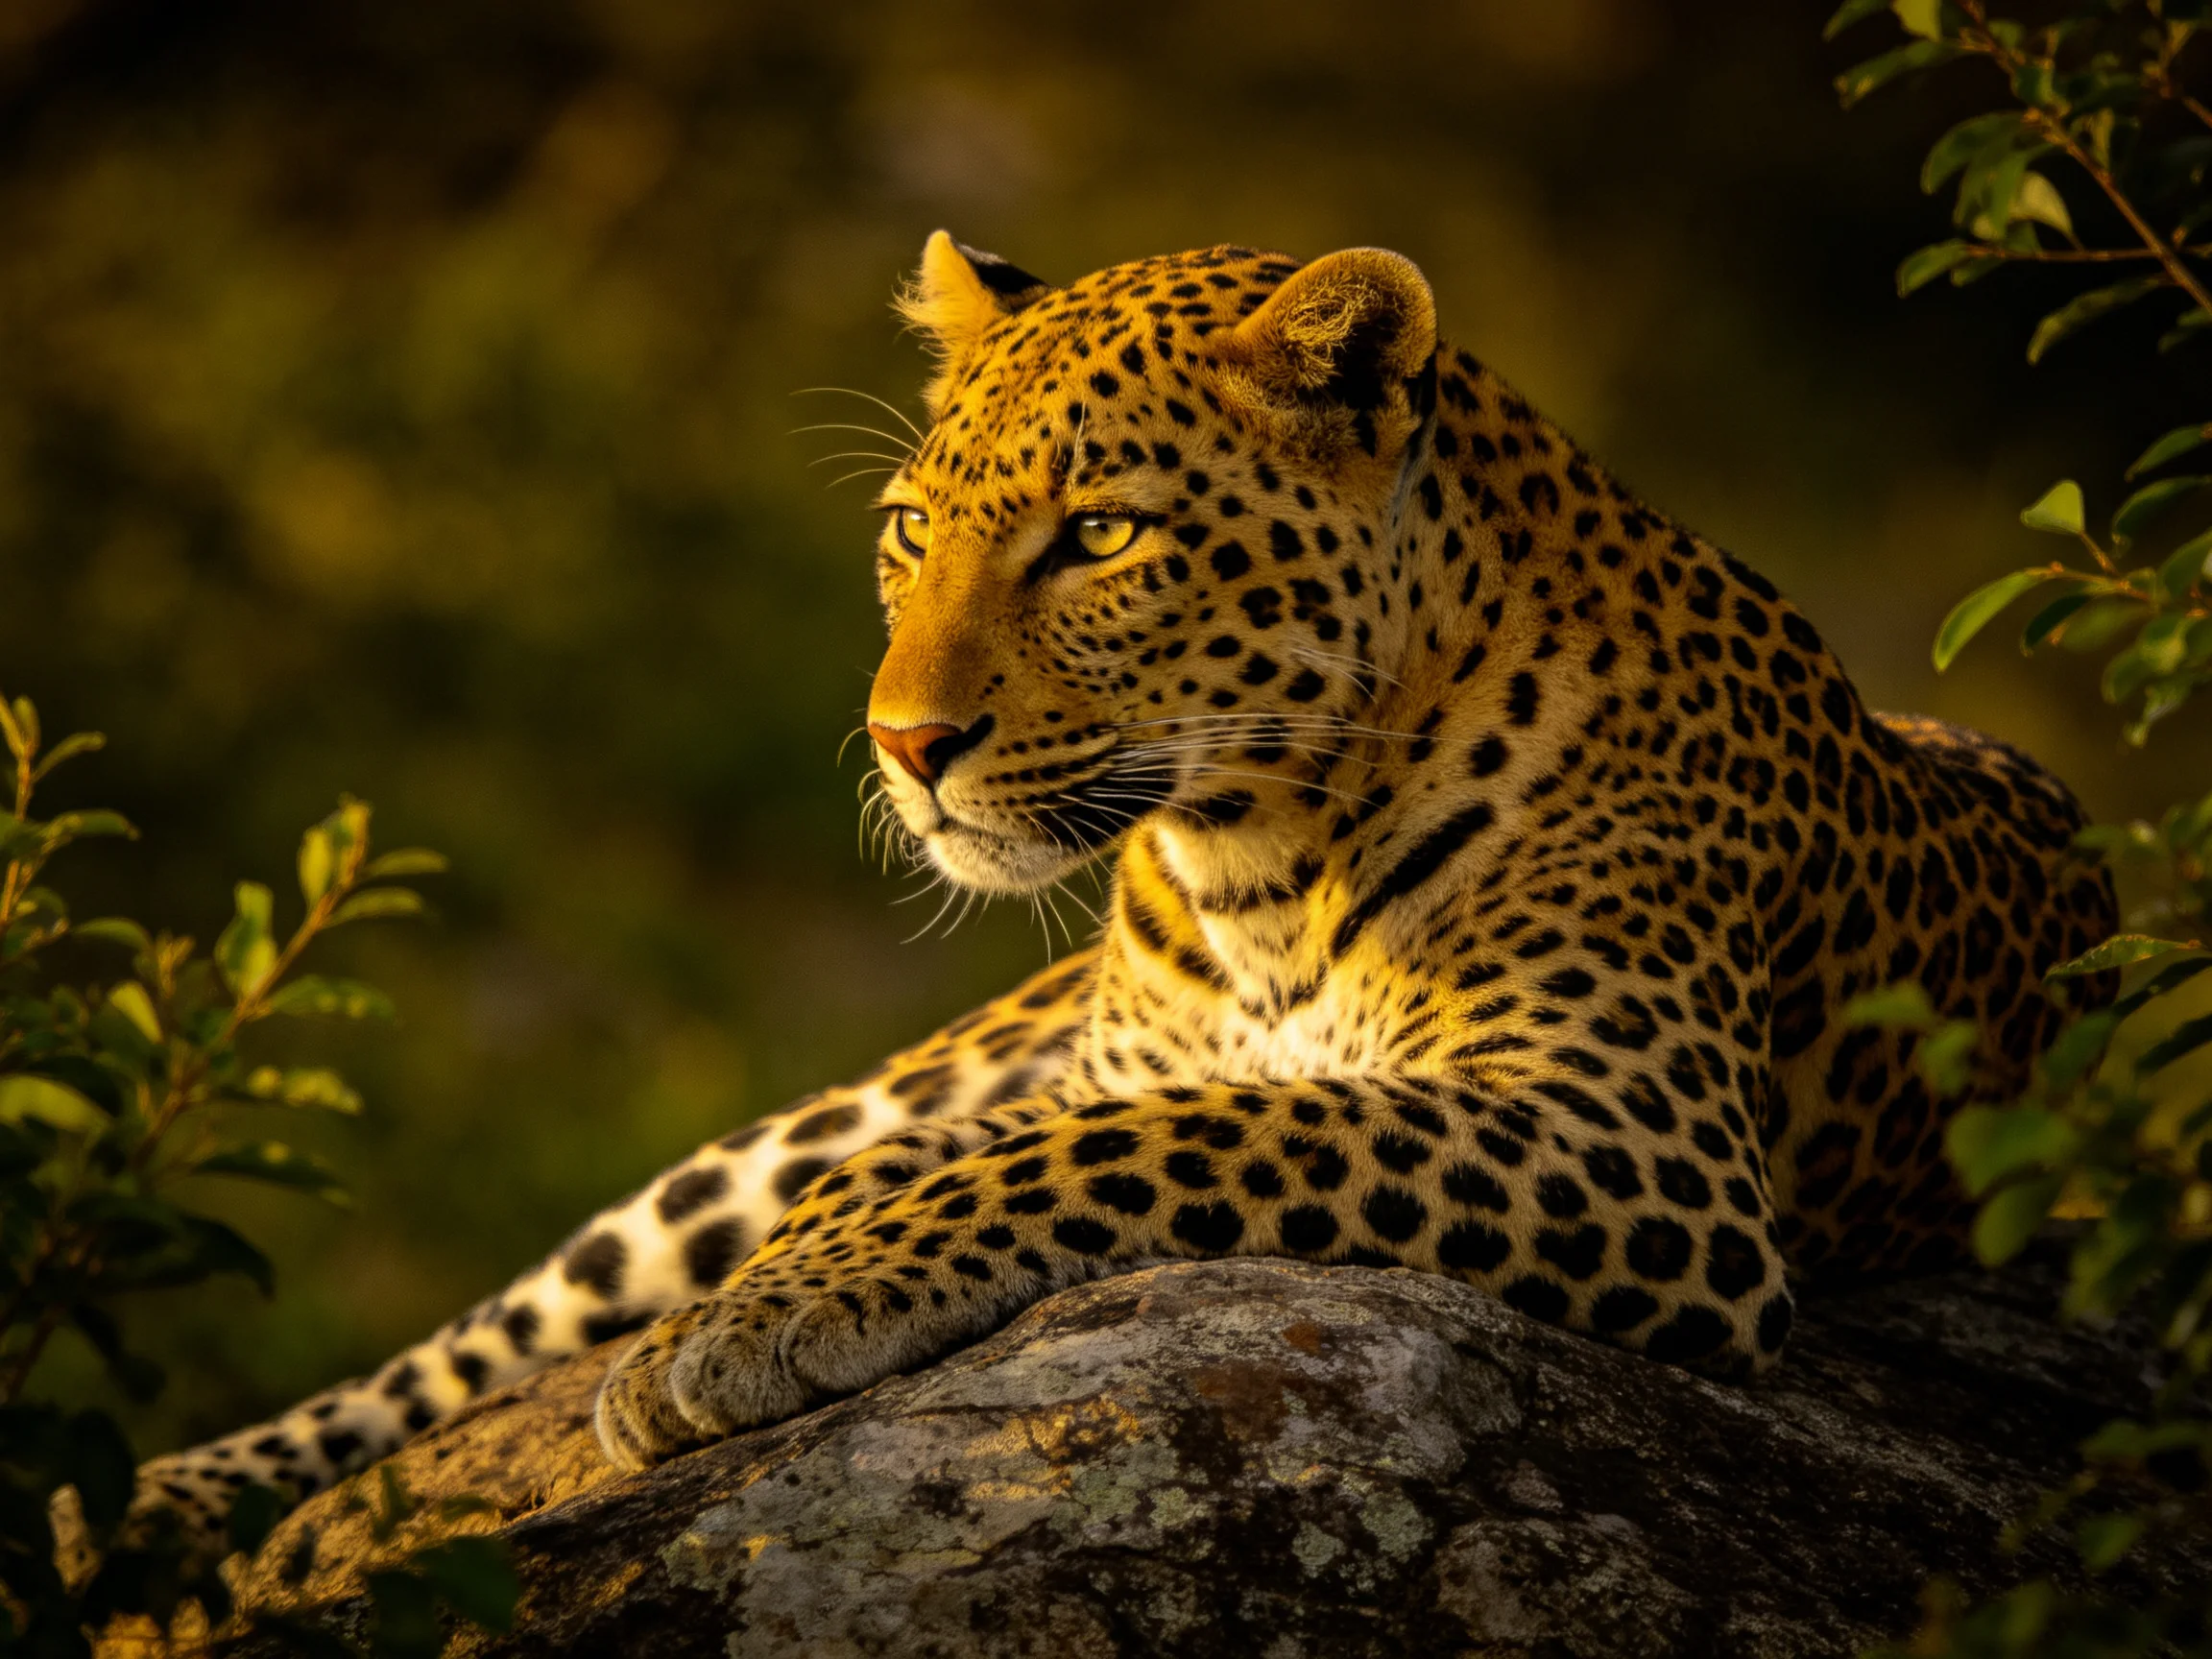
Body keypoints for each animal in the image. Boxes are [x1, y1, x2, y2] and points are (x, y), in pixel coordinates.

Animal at [112, 232, 2115, 1540]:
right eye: (909, 529)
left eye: (1101, 534)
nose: (901, 740)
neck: (1257, 859)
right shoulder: (1093, 1070)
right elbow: (1027, 1143)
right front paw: (748, 1302)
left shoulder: (1636, 1139)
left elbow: (1173, 1140)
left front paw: (765, 1316)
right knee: (522, 1307)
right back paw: (146, 1500)